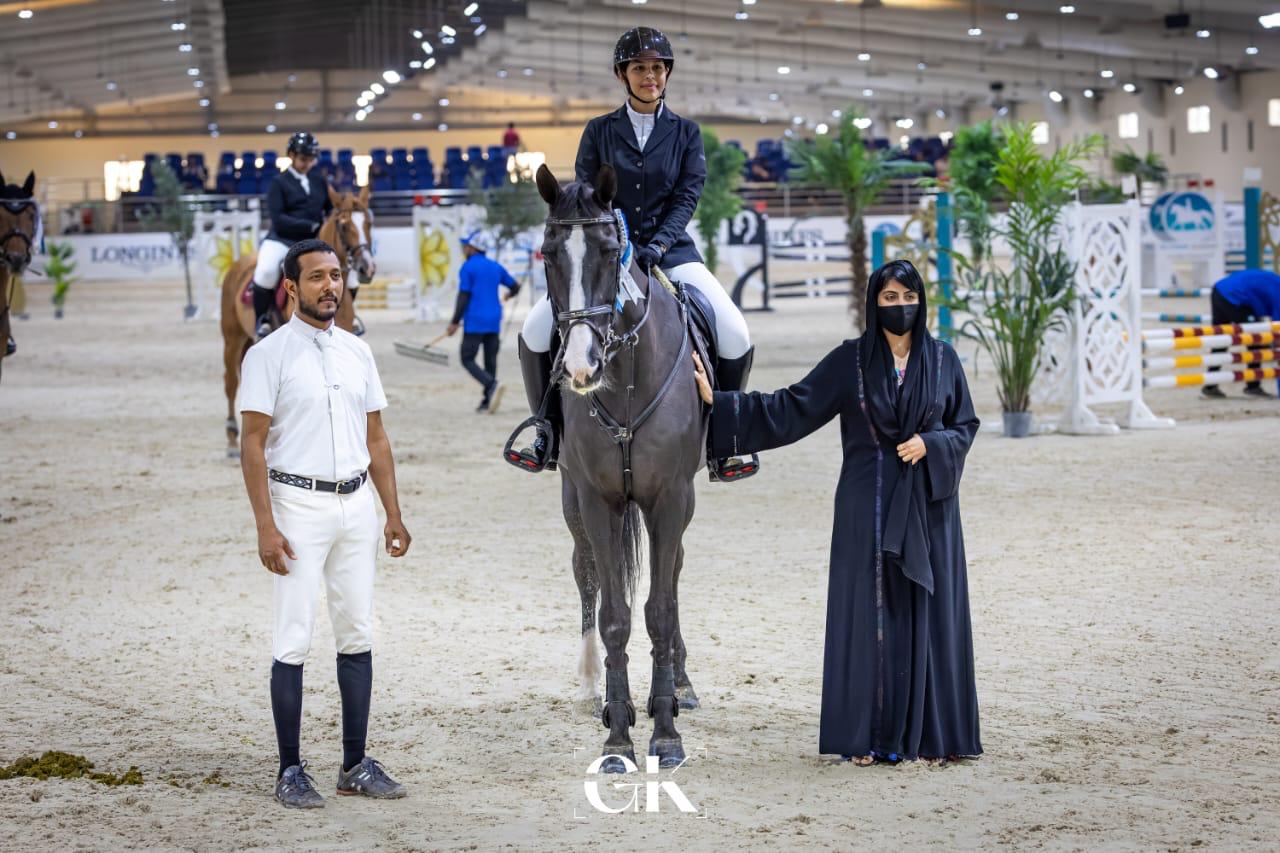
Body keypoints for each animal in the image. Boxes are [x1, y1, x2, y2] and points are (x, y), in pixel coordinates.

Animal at [219, 185, 376, 457]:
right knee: (230, 381)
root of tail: (239, 263)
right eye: (344, 225)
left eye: (368, 221)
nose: (367, 268)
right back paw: (230, 439)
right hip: (232, 337)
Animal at [533, 163, 704, 772]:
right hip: (570, 500)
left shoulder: (670, 498)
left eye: (611, 252)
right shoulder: (596, 498)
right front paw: (618, 735)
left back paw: (680, 684)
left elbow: (660, 608)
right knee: (584, 571)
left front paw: (666, 731)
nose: (581, 367)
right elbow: (614, 615)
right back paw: (595, 690)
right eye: (547, 254)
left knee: (673, 574)